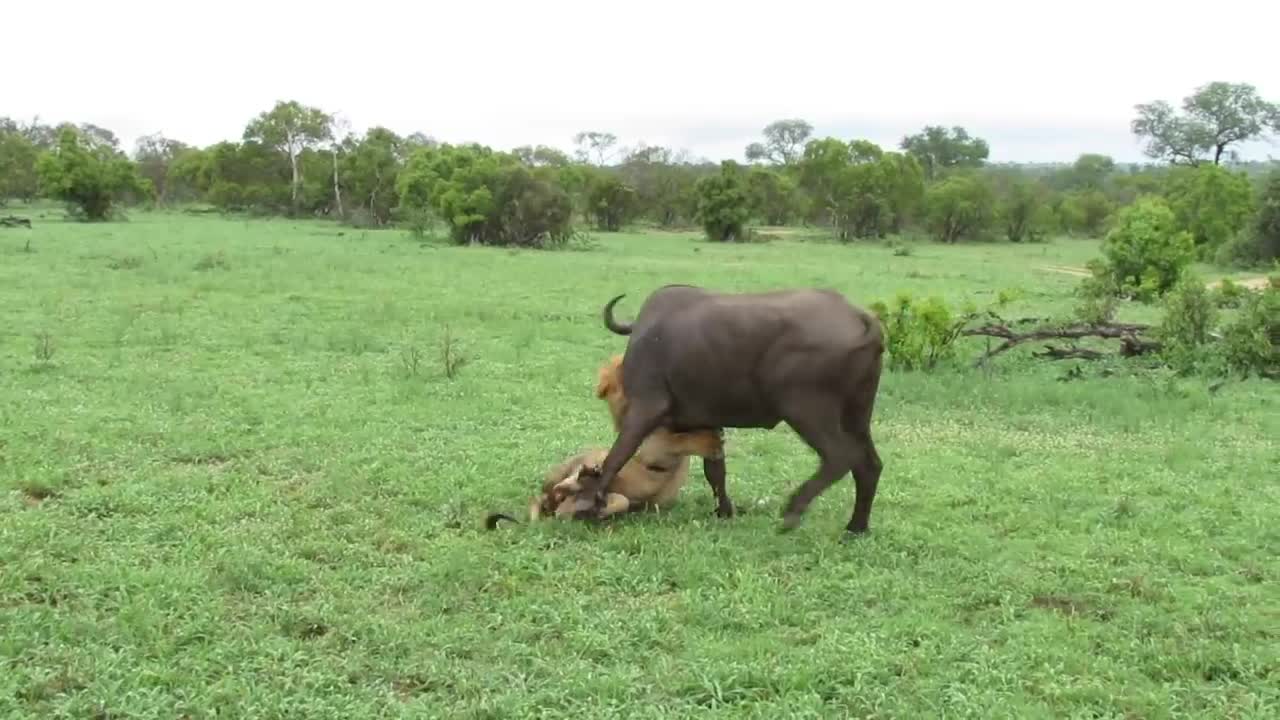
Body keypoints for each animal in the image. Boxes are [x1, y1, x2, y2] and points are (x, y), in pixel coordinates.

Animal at [576, 283, 885, 535]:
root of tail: (858, 317)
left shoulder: (644, 411)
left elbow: (616, 457)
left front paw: (593, 500)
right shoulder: (708, 424)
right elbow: (715, 470)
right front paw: (724, 511)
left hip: (806, 411)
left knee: (839, 458)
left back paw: (793, 511)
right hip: (857, 416)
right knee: (869, 465)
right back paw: (856, 527)